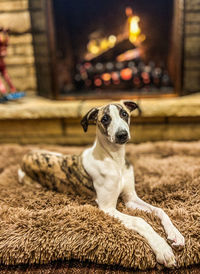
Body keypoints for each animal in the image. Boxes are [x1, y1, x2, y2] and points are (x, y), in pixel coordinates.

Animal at [18, 100, 184, 268]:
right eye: (105, 119)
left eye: (124, 114)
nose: (122, 134)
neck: (115, 160)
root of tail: (26, 156)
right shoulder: (107, 208)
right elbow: (140, 220)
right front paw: (162, 248)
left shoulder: (130, 198)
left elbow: (159, 210)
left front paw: (175, 234)